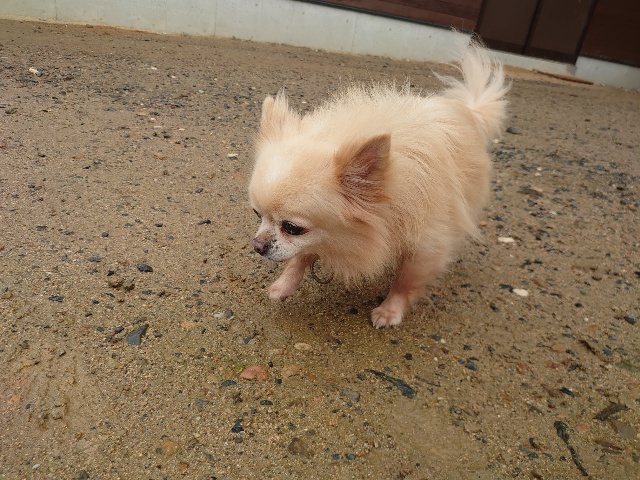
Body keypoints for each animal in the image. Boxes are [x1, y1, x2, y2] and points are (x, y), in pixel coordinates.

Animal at [249, 41, 508, 328]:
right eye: (257, 214)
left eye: (292, 228)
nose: (257, 246)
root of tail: (468, 110)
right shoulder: (321, 237)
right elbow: (300, 256)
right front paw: (284, 285)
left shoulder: (427, 245)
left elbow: (406, 281)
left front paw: (390, 310)